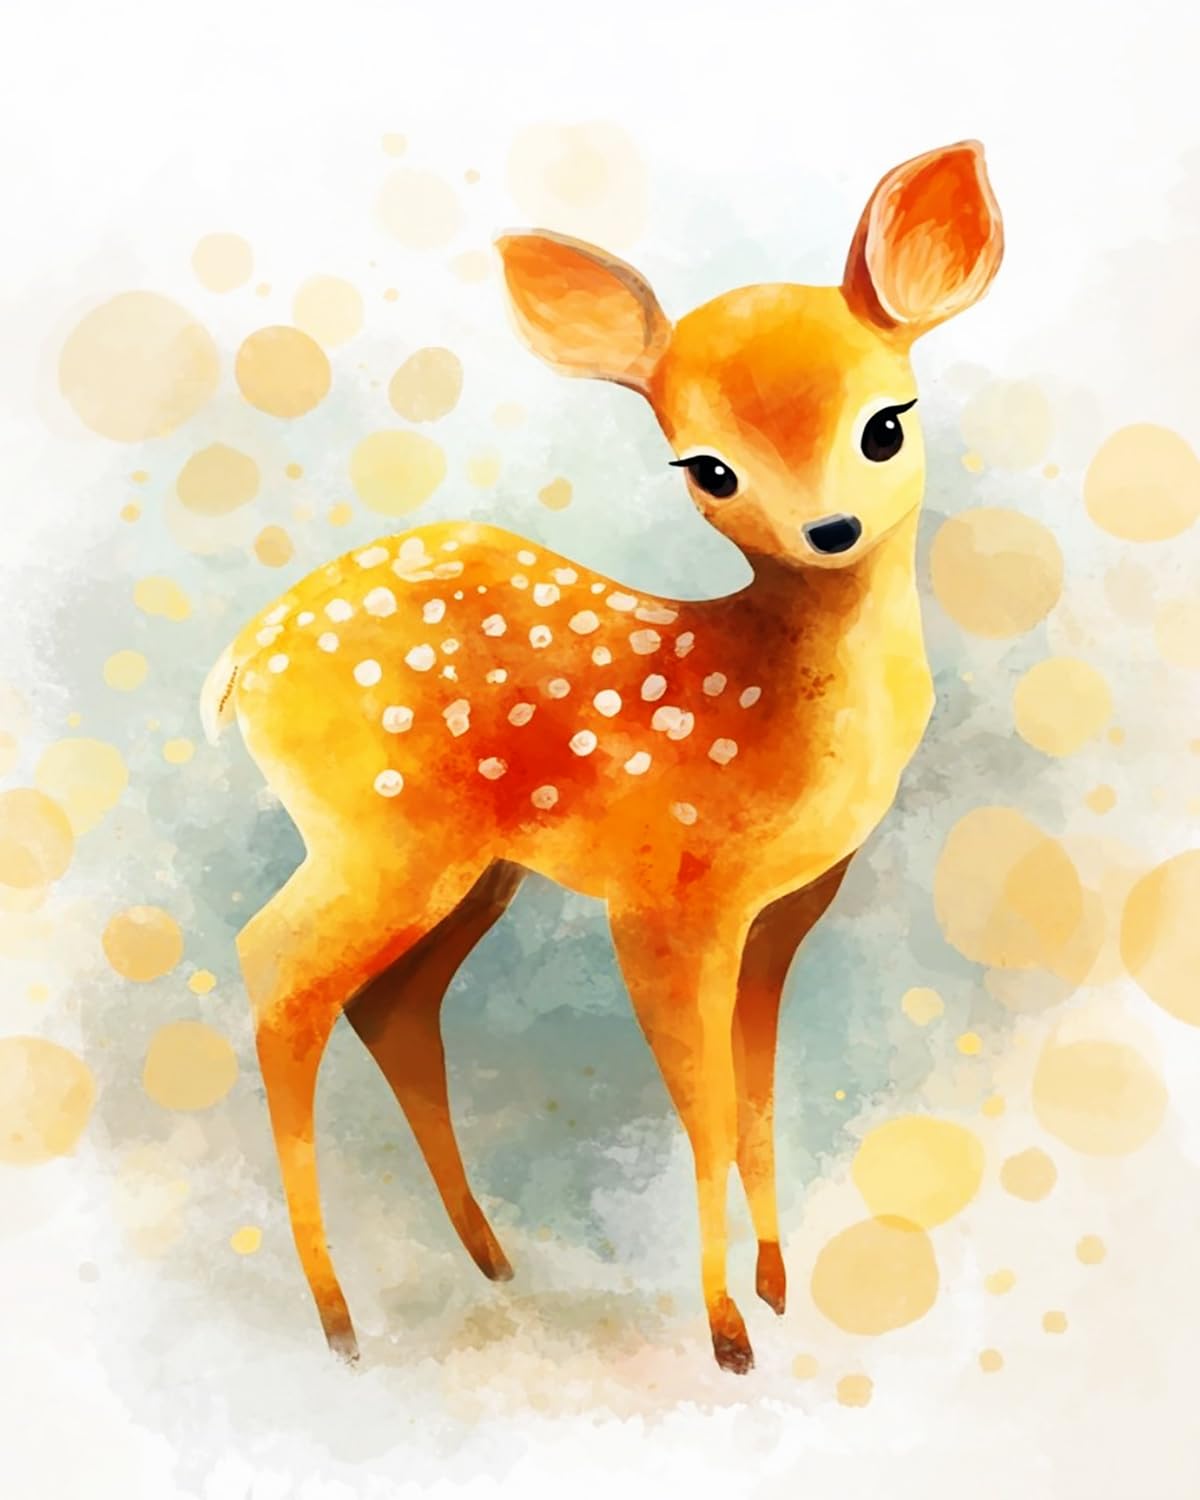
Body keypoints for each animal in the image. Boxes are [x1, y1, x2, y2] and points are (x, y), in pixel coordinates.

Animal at [200, 141, 1003, 1374]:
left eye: (886, 423)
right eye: (706, 467)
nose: (829, 532)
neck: (774, 713)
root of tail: (246, 656)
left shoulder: (783, 913)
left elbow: (758, 1099)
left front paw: (777, 1289)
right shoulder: (667, 899)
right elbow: (705, 1112)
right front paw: (726, 1333)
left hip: (473, 870)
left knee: (392, 1004)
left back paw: (487, 1258)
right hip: (380, 834)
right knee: (274, 967)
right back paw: (339, 1321)